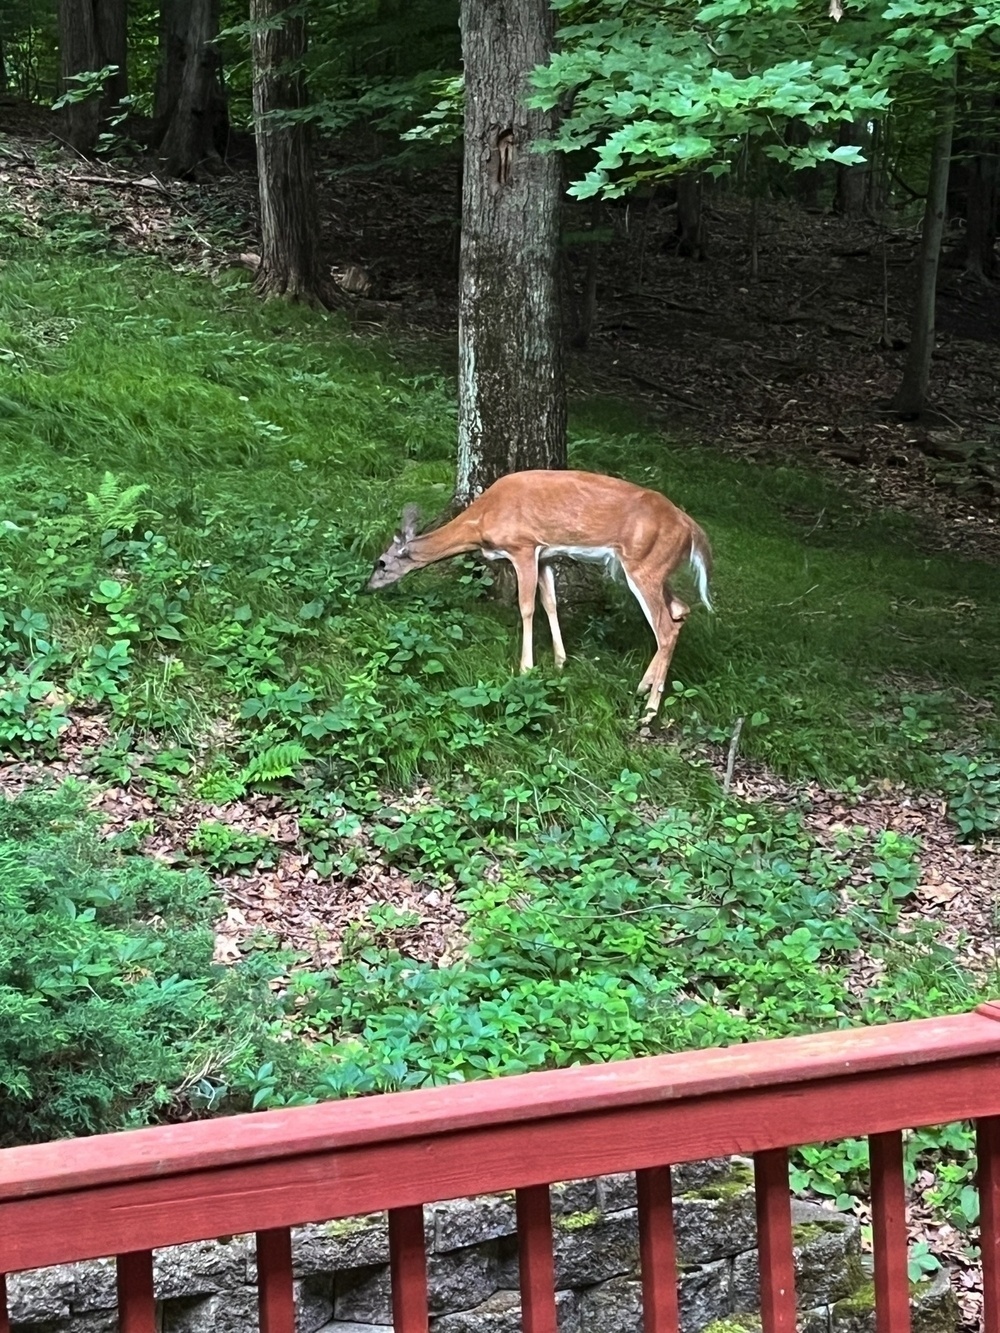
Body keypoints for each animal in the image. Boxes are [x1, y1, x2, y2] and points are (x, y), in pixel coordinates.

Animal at [368, 469, 714, 719]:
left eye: (381, 562)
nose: (367, 586)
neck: (482, 521)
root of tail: (692, 529)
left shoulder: (523, 546)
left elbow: (526, 607)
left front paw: (525, 668)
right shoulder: (546, 554)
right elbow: (550, 603)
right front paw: (560, 662)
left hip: (644, 565)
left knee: (665, 627)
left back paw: (649, 712)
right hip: (657, 567)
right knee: (680, 611)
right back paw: (643, 686)